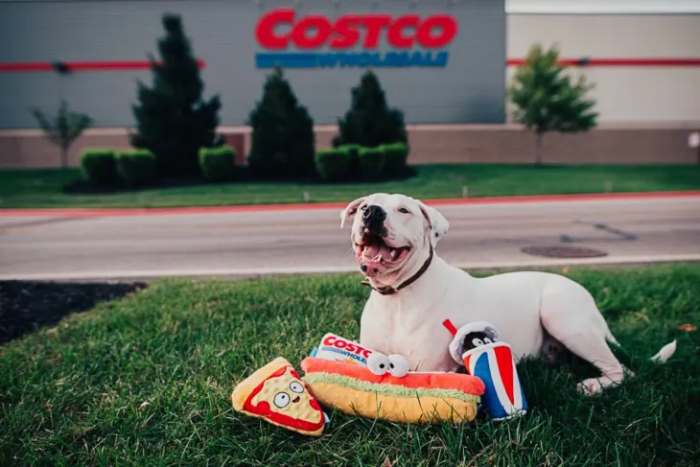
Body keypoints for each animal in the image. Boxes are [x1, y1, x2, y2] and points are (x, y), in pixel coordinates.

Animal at [342, 193, 676, 394]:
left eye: (404, 210)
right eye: (363, 206)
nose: (371, 212)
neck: (398, 295)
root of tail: (586, 295)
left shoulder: (427, 368)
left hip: (563, 317)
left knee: (623, 371)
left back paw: (593, 384)